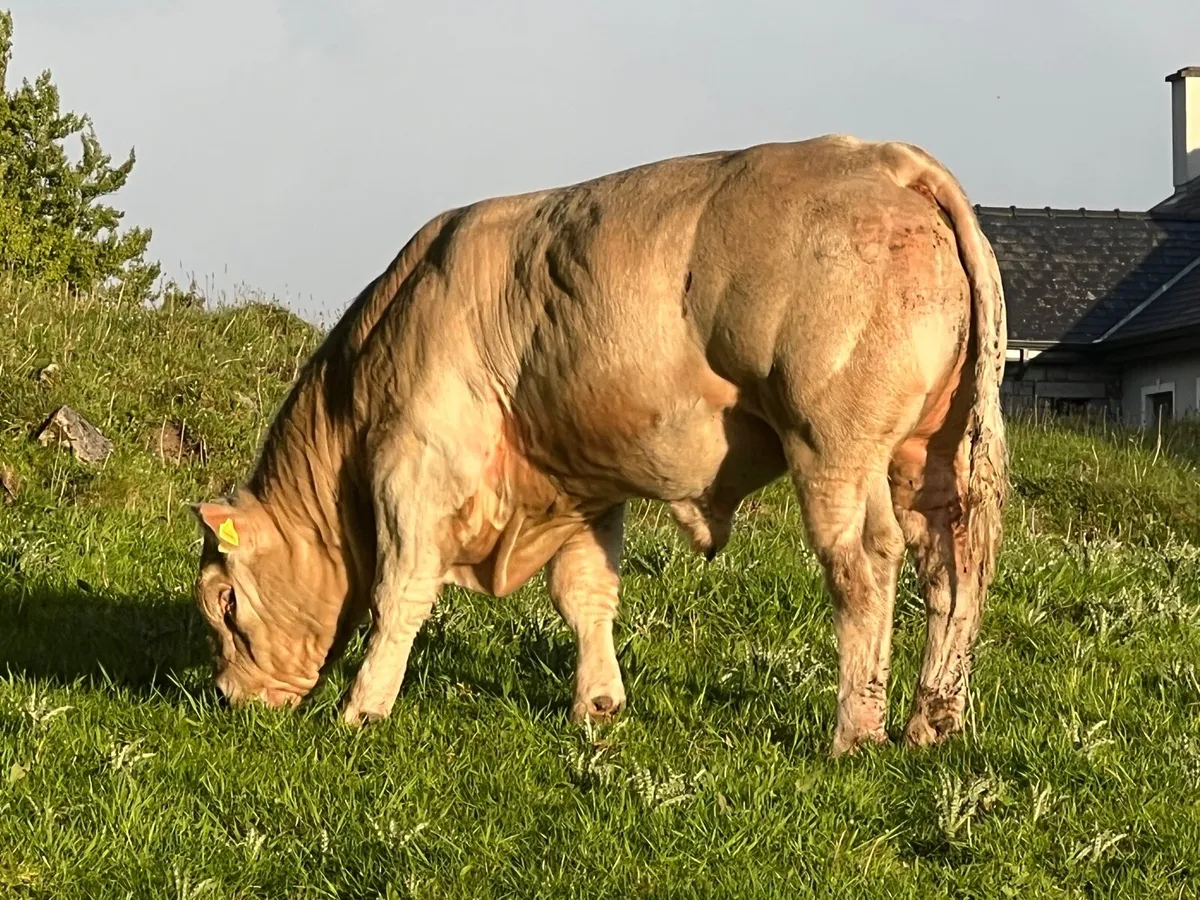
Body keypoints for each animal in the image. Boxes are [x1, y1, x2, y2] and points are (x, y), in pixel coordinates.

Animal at [189, 134, 1007, 756]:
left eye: (223, 601)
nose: (229, 699)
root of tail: (881, 157)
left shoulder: (417, 465)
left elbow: (401, 593)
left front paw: (361, 710)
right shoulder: (579, 483)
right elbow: (585, 594)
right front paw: (600, 705)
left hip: (834, 448)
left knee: (865, 564)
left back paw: (854, 733)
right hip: (928, 452)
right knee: (953, 563)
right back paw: (931, 722)